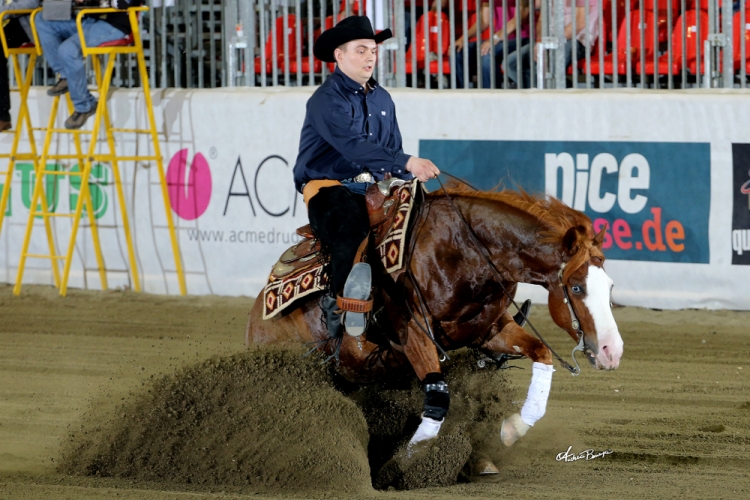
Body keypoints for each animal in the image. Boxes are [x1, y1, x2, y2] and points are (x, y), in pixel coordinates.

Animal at [245, 187, 624, 450]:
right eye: (576, 287)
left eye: (610, 285)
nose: (611, 351)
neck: (462, 252)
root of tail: (257, 315)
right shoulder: (414, 335)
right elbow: (438, 398)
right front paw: (409, 463)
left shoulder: (490, 330)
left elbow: (541, 353)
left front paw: (512, 429)